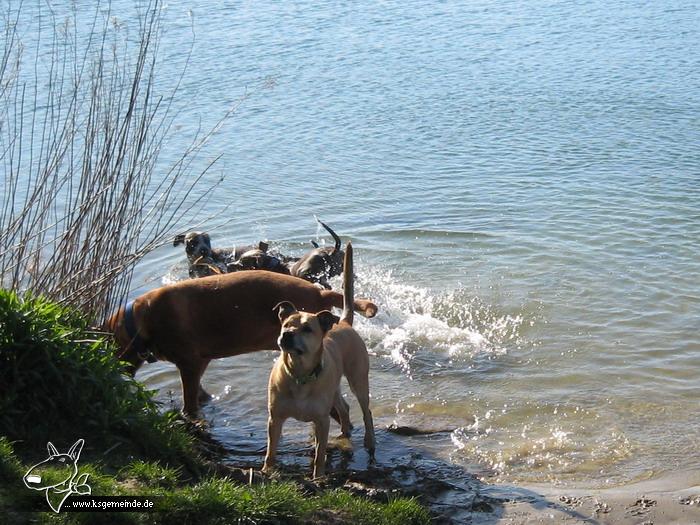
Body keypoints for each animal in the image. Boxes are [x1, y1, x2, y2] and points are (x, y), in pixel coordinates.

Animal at [104, 268, 378, 416]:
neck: (140, 320)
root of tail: (321, 292)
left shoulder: (190, 364)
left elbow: (189, 403)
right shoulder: (198, 365)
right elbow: (200, 393)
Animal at [262, 244, 374, 476]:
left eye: (307, 329)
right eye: (286, 324)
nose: (286, 335)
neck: (299, 373)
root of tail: (344, 322)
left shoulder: (322, 420)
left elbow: (320, 453)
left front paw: (318, 476)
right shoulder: (274, 418)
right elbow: (271, 449)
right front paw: (267, 470)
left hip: (358, 378)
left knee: (365, 409)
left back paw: (369, 441)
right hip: (334, 385)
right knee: (343, 406)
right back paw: (345, 431)